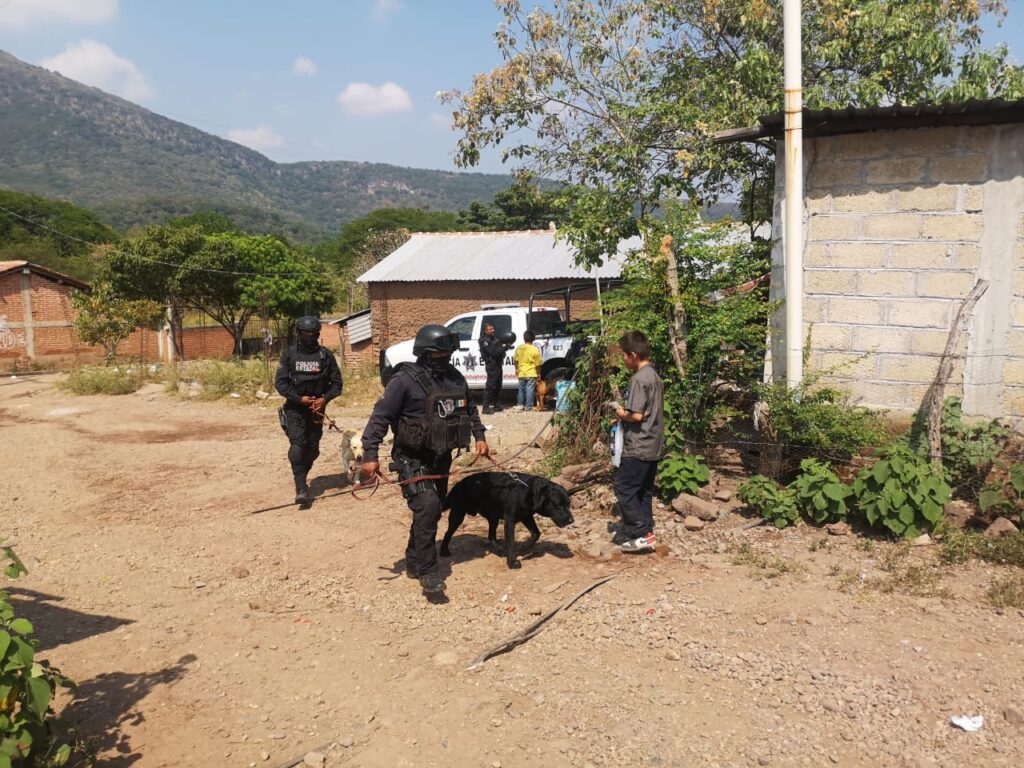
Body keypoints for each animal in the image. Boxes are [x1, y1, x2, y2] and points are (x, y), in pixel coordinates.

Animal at [440, 473, 577, 569]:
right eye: (559, 506)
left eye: (568, 505)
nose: (571, 520)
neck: (530, 491)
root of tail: (459, 483)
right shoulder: (510, 521)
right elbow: (510, 543)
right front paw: (512, 562)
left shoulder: (527, 516)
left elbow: (536, 534)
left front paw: (522, 547)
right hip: (457, 515)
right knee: (447, 533)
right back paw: (444, 551)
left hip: (493, 517)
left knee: (491, 536)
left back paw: (500, 550)